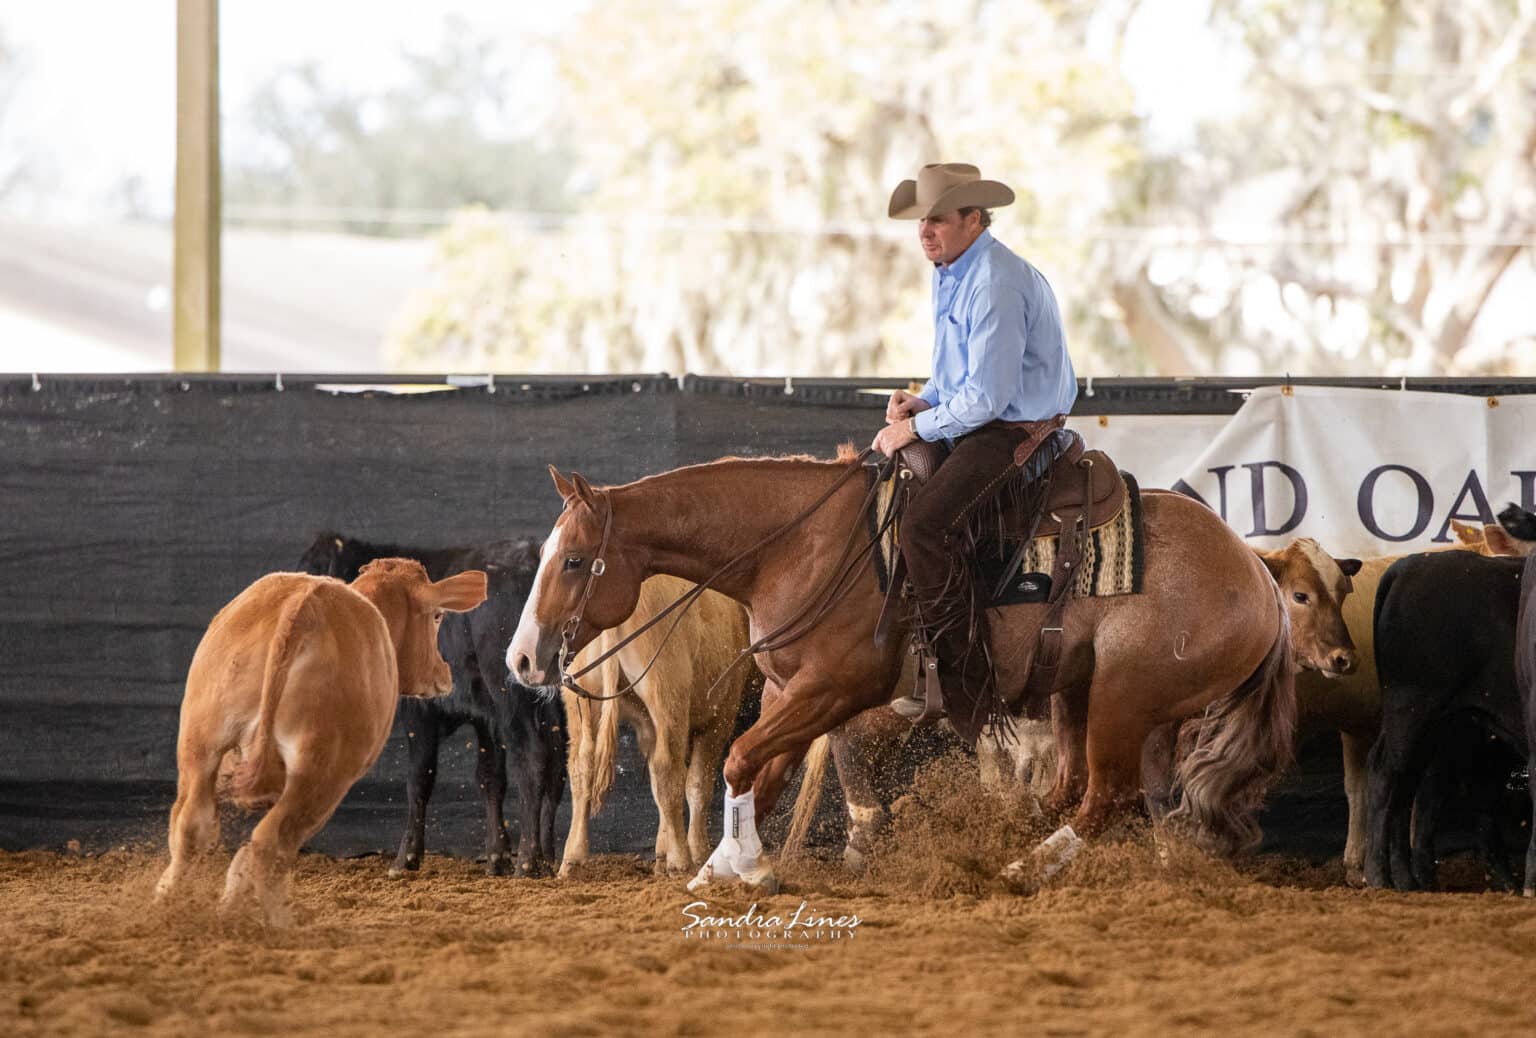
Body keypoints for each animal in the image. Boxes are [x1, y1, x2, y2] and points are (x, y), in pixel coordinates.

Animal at [507, 454, 1294, 892]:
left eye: (573, 560)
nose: (522, 658)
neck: (802, 545)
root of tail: (1258, 574)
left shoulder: (833, 690)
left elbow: (739, 759)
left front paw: (746, 866)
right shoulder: (792, 692)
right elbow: (760, 773)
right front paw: (720, 865)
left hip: (1122, 699)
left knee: (1108, 795)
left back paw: (1017, 871)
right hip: (1091, 694)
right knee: (1116, 793)